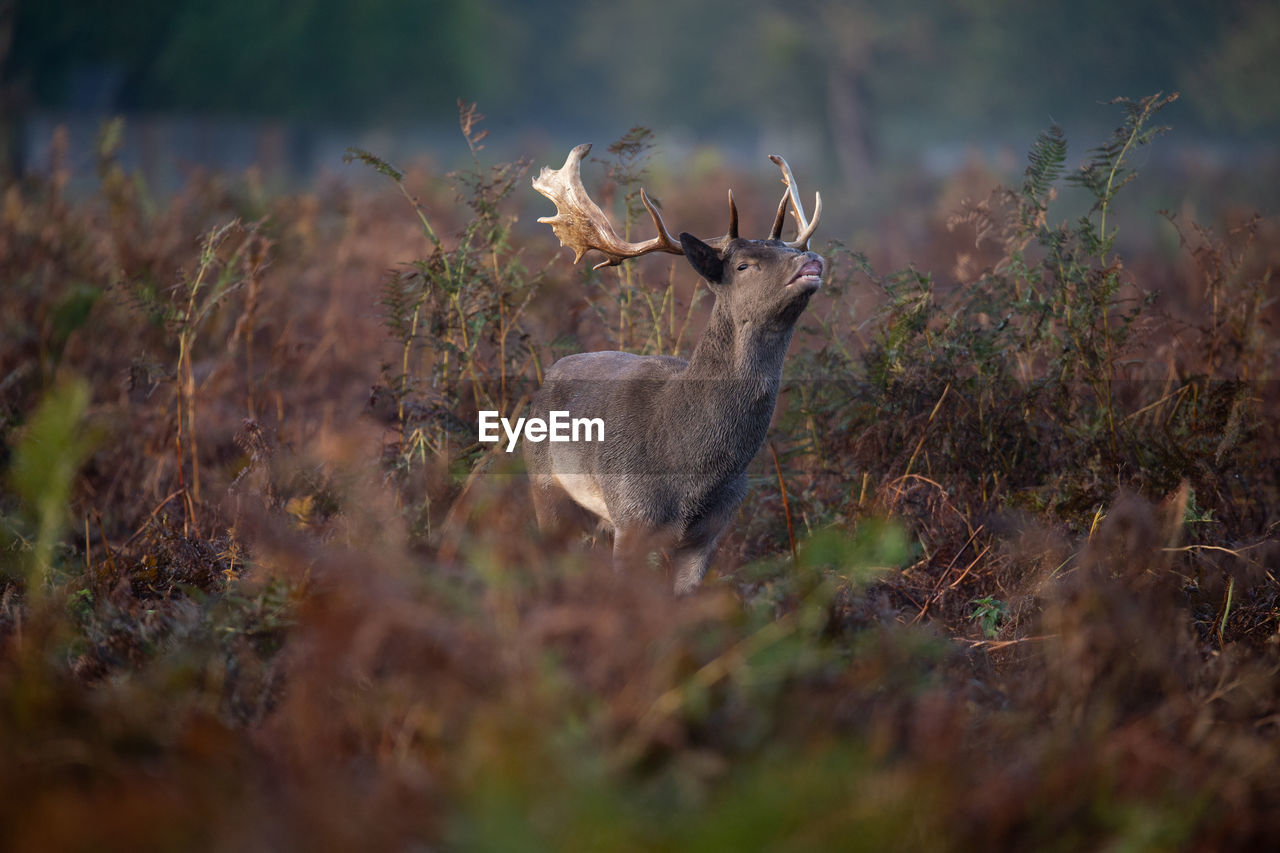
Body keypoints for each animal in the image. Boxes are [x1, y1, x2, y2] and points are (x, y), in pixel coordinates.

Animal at [524, 142, 824, 591]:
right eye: (743, 265)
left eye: (793, 249)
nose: (812, 261)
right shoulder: (631, 516)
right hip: (544, 485)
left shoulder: (710, 533)